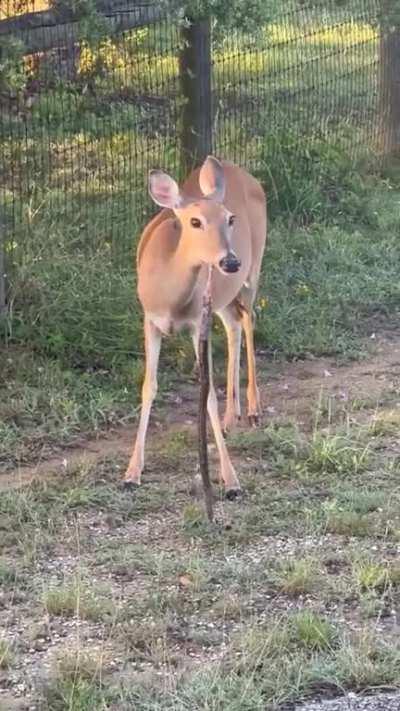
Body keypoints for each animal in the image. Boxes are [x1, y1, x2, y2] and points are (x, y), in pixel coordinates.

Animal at [123, 156, 267, 498]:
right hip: (223, 297)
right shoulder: (149, 319)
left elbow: (207, 393)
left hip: (253, 270)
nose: (230, 262)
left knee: (249, 318)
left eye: (230, 219)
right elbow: (148, 386)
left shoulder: (197, 323)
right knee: (234, 323)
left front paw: (231, 480)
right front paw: (132, 472)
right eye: (195, 222)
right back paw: (231, 417)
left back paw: (253, 409)